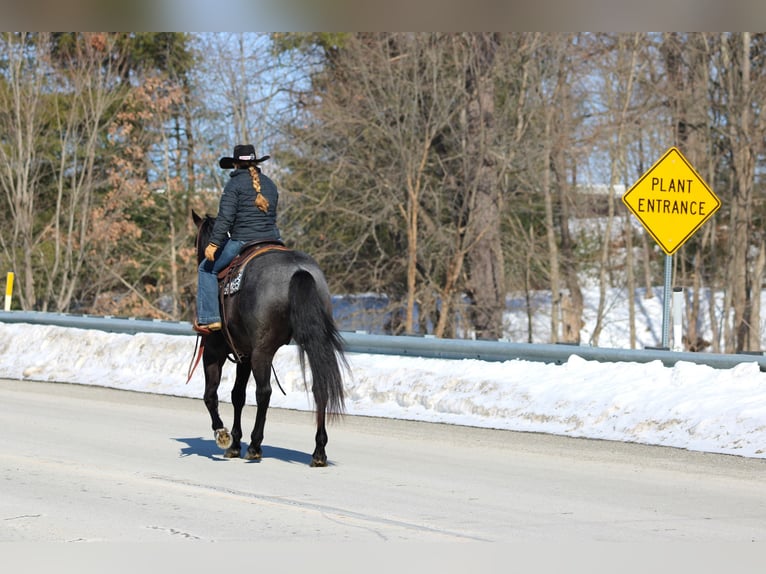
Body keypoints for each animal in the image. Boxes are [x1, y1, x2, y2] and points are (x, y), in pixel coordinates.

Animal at [191, 210, 347, 467]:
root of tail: (298, 270)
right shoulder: (244, 354)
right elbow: (237, 395)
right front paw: (235, 443)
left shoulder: (214, 351)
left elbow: (210, 395)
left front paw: (223, 435)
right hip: (313, 343)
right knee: (319, 388)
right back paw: (319, 452)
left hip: (262, 352)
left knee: (263, 392)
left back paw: (255, 446)